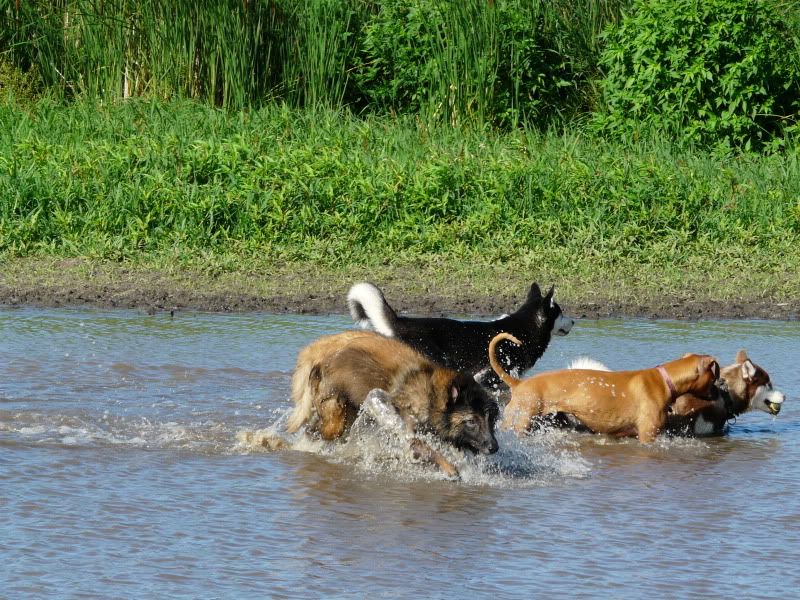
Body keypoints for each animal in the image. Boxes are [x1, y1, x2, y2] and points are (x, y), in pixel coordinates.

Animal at [288, 328, 500, 478]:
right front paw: (449, 468)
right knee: (321, 431)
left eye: (491, 419)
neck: (430, 395)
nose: (494, 447)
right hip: (335, 418)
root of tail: (320, 350)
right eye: (472, 421)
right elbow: (422, 446)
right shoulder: (395, 416)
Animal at [488, 332, 720, 440]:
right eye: (714, 376)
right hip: (520, 421)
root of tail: (519, 384)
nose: (719, 391)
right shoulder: (648, 435)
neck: (665, 379)